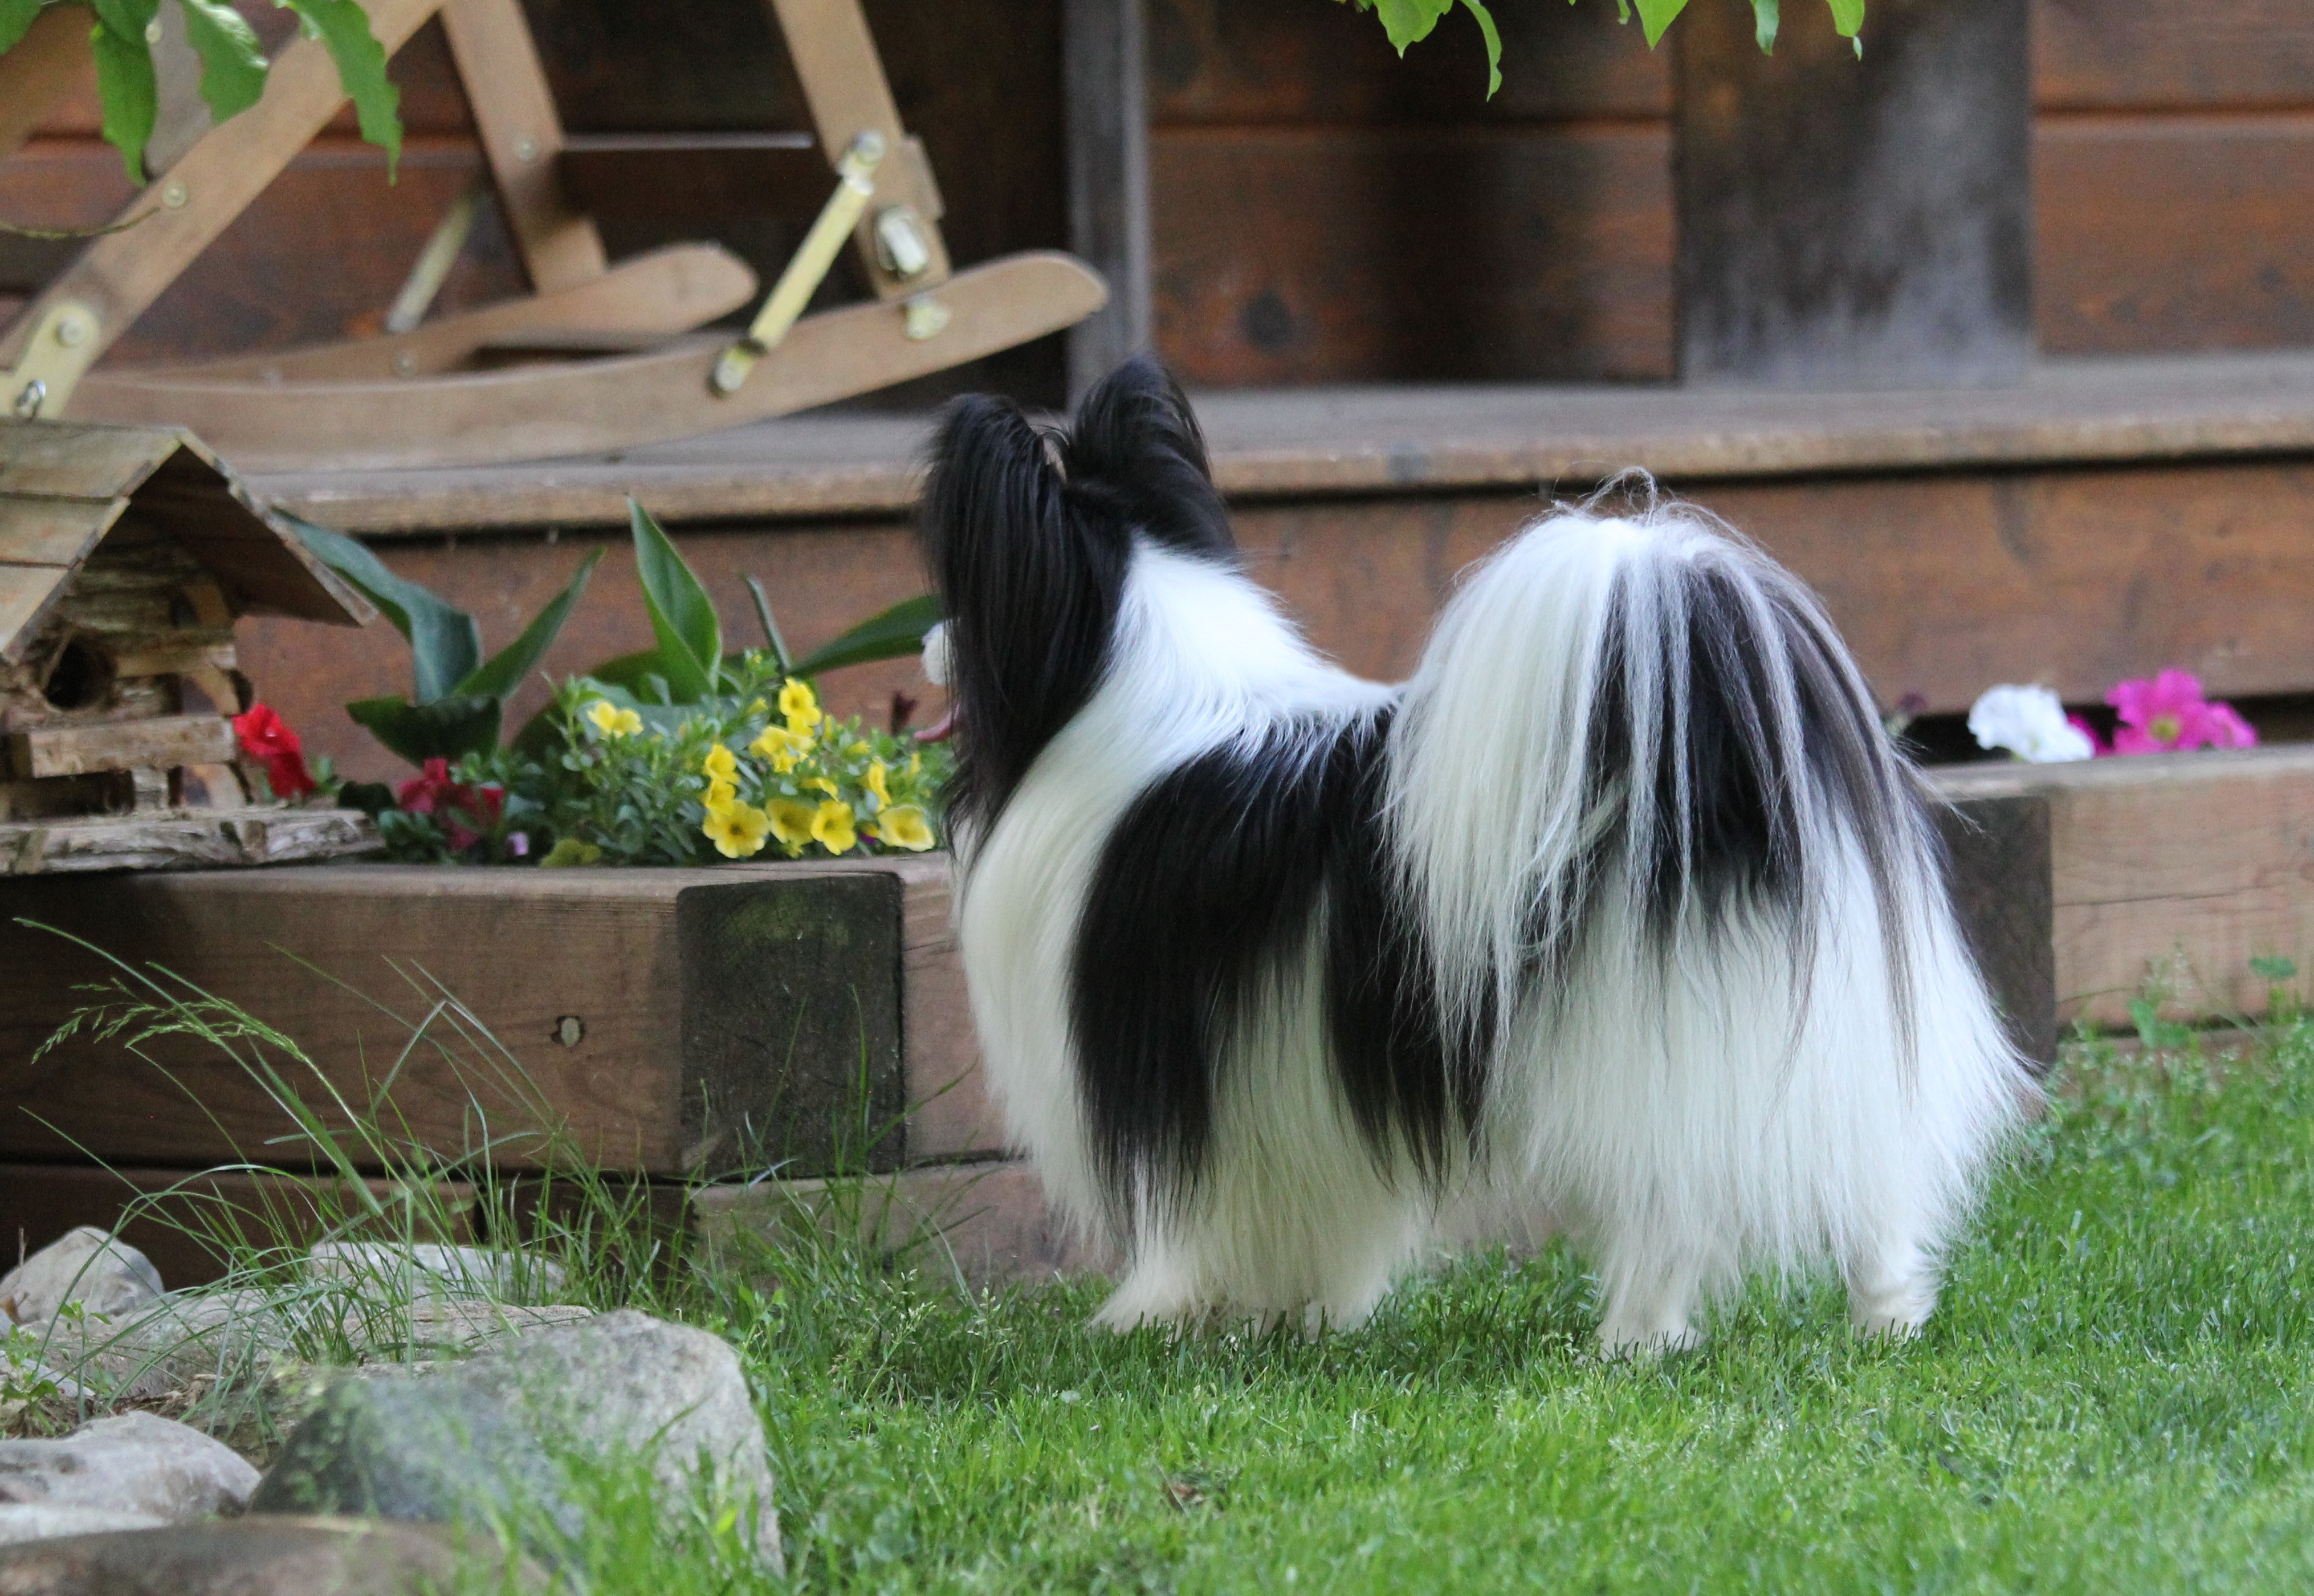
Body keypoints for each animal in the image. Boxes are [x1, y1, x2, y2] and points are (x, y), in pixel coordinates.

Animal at [917, 357, 2034, 1351]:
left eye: (963, 610)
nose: (923, 642)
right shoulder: (1291, 1086)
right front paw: (1306, 1318)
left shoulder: (1183, 1072)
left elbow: (1193, 1225)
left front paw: (1166, 1317)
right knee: (1871, 1186)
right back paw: (1888, 1321)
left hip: (1649, 1047)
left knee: (1676, 1205)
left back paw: (1633, 1341)